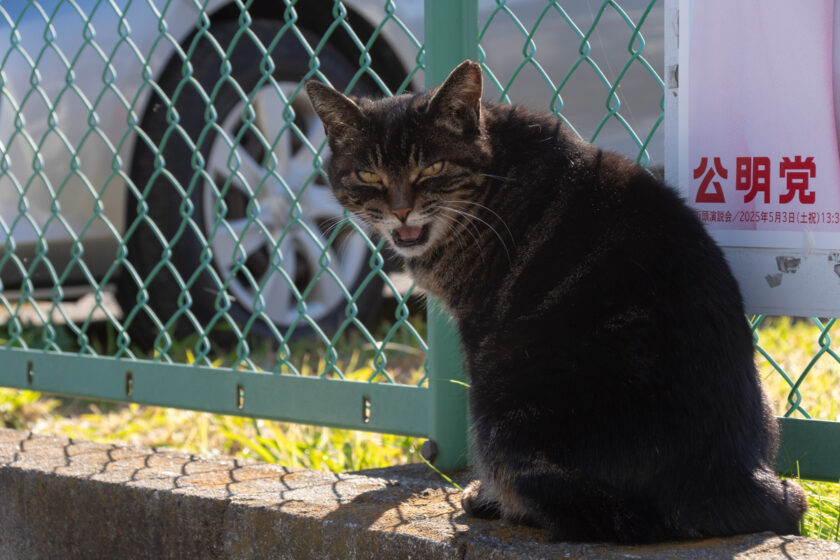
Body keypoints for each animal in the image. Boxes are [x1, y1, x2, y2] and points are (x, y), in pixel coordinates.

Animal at [302, 58, 808, 544]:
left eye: (432, 169)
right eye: (368, 175)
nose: (401, 211)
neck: (495, 168)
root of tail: (729, 479)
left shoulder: (477, 327)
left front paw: (482, 495)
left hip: (499, 403)